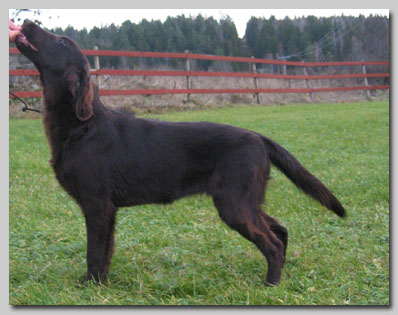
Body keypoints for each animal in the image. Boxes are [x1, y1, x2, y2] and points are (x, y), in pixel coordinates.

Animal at [14, 19, 346, 286]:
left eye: (60, 42)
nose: (26, 21)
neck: (82, 128)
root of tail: (259, 138)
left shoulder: (98, 205)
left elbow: (94, 252)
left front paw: (90, 285)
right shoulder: (107, 210)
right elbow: (105, 252)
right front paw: (100, 282)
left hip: (234, 203)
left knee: (272, 242)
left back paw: (271, 284)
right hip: (247, 200)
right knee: (281, 230)